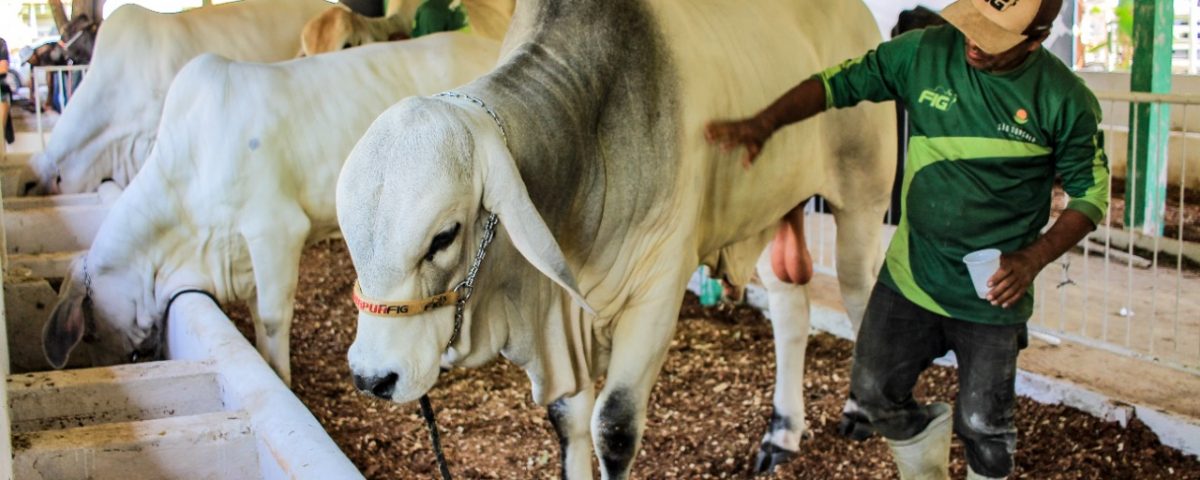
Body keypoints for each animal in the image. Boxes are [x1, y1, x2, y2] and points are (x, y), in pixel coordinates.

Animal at [338, 0, 902, 475]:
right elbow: (567, 419)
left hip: (863, 200)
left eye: (444, 236)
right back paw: (781, 434)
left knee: (860, 291)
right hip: (771, 207)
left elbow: (614, 427)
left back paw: (858, 411)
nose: (371, 378)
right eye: (351, 241)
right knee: (790, 309)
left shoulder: (657, 294)